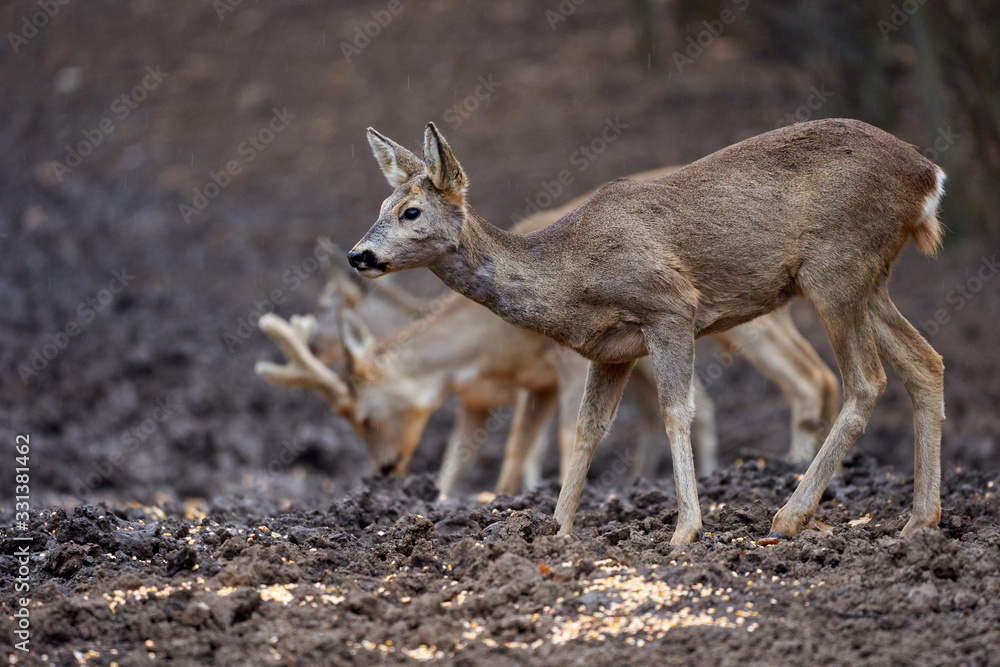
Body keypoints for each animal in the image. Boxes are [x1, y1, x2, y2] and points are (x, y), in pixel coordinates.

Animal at [348, 119, 946, 545]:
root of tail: (929, 175)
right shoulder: (608, 351)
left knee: (865, 381)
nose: (358, 255)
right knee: (926, 362)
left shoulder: (670, 308)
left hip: (835, 268)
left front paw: (686, 530)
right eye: (380, 204)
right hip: (870, 280)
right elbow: (587, 429)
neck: (567, 271)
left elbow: (677, 410)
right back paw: (920, 521)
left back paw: (789, 517)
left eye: (410, 211)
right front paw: (556, 530)